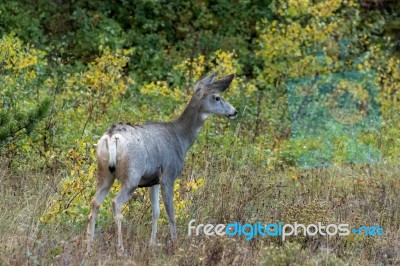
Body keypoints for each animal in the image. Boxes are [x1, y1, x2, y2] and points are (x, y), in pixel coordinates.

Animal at [86, 72, 238, 254]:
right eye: (217, 97)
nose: (234, 111)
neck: (181, 138)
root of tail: (111, 136)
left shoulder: (154, 181)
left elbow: (156, 211)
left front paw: (153, 243)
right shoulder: (168, 175)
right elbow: (170, 213)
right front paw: (175, 243)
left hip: (104, 172)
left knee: (95, 202)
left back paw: (89, 246)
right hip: (132, 175)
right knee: (116, 202)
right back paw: (121, 249)